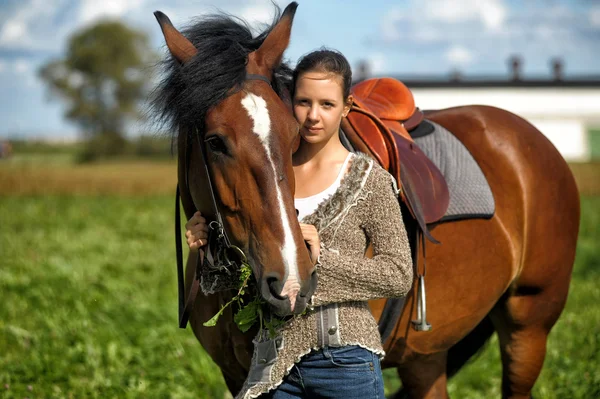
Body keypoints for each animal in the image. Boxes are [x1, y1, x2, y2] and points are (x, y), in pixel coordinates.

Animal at [152, 3, 580, 399]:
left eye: (293, 135)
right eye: (215, 142)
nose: (291, 282)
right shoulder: (236, 376)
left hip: (528, 327)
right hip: (426, 355)